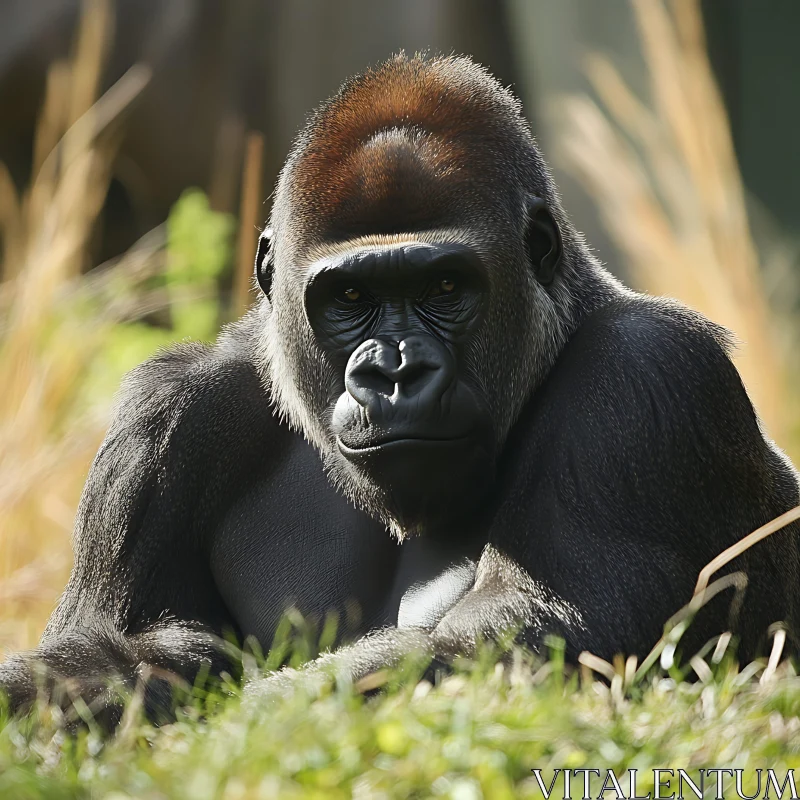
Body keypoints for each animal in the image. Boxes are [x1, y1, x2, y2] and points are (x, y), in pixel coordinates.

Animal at [1, 54, 800, 720]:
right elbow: (127, 639)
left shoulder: (649, 376)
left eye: (445, 287)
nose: (394, 372)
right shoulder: (166, 418)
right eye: (349, 298)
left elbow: (540, 634)